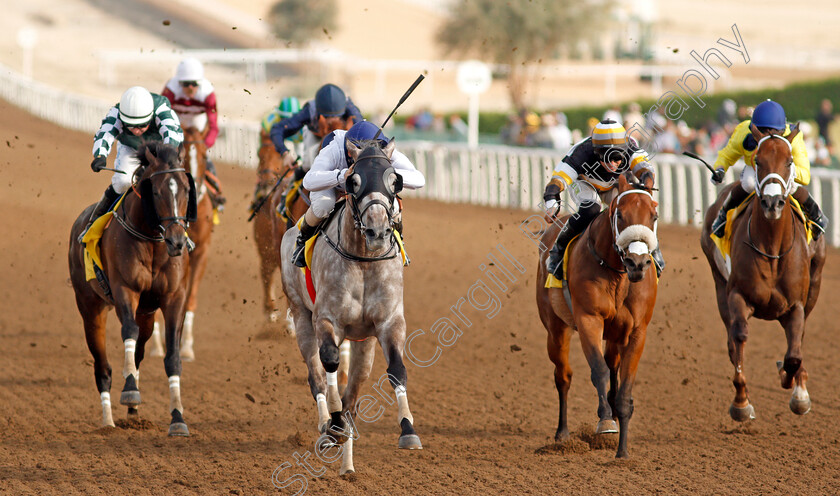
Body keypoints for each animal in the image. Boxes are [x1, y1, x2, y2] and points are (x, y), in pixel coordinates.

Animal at [68, 141, 197, 436]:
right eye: (157, 191)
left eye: (186, 189)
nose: (176, 241)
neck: (152, 240)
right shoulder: (125, 290)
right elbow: (128, 330)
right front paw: (129, 392)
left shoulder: (174, 299)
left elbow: (172, 357)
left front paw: (178, 418)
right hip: (90, 308)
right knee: (103, 368)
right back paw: (108, 420)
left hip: (147, 314)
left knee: (138, 350)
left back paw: (133, 410)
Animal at [278, 138, 420, 474]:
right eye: (353, 182)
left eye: (395, 180)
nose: (378, 231)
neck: (364, 260)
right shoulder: (326, 319)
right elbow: (330, 362)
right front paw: (334, 423)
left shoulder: (389, 322)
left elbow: (397, 370)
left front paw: (408, 429)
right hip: (301, 316)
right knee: (317, 375)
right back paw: (328, 424)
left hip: (363, 341)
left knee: (354, 387)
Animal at [540, 172, 664, 460]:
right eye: (620, 215)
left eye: (653, 216)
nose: (637, 264)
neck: (617, 273)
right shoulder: (588, 320)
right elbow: (598, 370)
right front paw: (606, 422)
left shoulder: (637, 331)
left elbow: (624, 387)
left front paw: (622, 451)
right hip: (556, 329)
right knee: (563, 376)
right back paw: (562, 434)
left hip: (615, 336)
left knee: (613, 366)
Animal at [700, 125, 824, 422]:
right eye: (758, 160)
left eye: (789, 162)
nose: (772, 203)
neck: (772, 248)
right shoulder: (737, 296)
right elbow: (740, 337)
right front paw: (741, 403)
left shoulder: (796, 304)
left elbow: (794, 354)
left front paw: (796, 389)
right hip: (718, 281)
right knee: (731, 340)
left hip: (815, 284)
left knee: (799, 340)